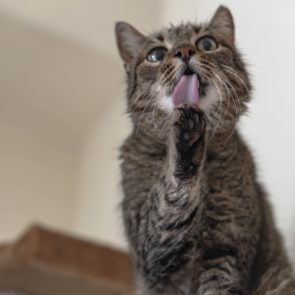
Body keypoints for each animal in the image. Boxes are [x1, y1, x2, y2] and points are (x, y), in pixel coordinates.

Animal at [115, 5, 295, 295]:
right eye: (156, 55)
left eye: (207, 43)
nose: (185, 51)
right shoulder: (150, 248)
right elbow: (169, 203)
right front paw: (185, 139)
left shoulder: (226, 251)